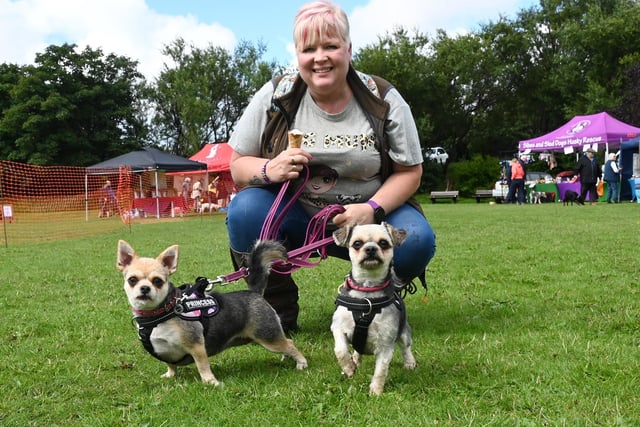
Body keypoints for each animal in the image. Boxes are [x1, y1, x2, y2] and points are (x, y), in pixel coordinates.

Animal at [117, 239, 308, 386]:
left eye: (157, 281)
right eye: (132, 280)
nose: (144, 288)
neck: (161, 313)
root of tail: (253, 292)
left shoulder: (197, 346)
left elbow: (203, 366)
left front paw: (210, 382)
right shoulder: (165, 352)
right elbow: (170, 364)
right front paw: (171, 375)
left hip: (267, 337)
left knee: (289, 343)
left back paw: (301, 363)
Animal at [332, 222, 418, 396]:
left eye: (383, 243)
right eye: (357, 243)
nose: (371, 248)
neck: (367, 293)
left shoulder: (386, 344)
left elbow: (381, 370)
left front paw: (376, 391)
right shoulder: (338, 327)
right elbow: (341, 350)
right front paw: (348, 367)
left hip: (403, 332)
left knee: (406, 347)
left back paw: (409, 362)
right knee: (357, 350)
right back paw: (356, 360)